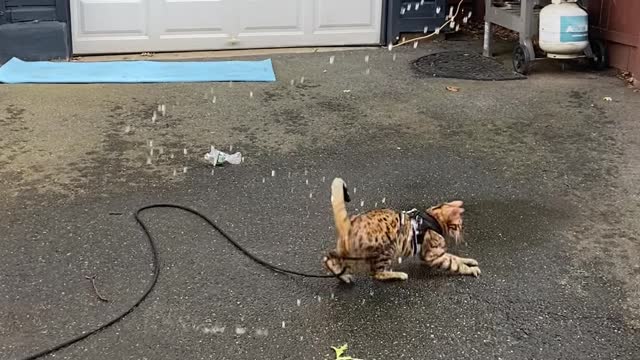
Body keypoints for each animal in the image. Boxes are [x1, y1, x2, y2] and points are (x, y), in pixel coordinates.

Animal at [324, 177, 480, 284]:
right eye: (460, 225)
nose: (462, 232)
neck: (433, 217)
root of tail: (351, 223)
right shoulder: (432, 255)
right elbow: (456, 264)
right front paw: (471, 269)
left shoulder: (438, 254)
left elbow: (456, 257)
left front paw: (469, 261)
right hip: (387, 248)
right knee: (377, 273)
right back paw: (398, 275)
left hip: (348, 252)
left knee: (329, 258)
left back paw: (343, 276)